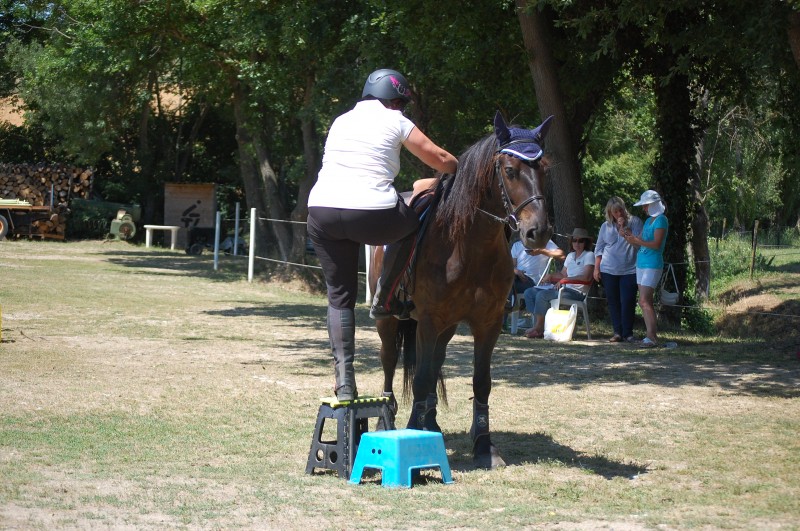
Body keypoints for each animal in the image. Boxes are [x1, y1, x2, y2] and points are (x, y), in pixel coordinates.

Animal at [369, 111, 554, 468]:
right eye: (509, 170)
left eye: (545, 169)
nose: (537, 232)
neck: (468, 245)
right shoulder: (428, 321)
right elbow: (422, 377)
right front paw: (416, 437)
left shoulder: (487, 323)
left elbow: (480, 382)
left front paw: (484, 445)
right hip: (389, 320)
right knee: (389, 360)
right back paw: (388, 421)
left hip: (448, 327)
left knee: (435, 364)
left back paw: (430, 423)